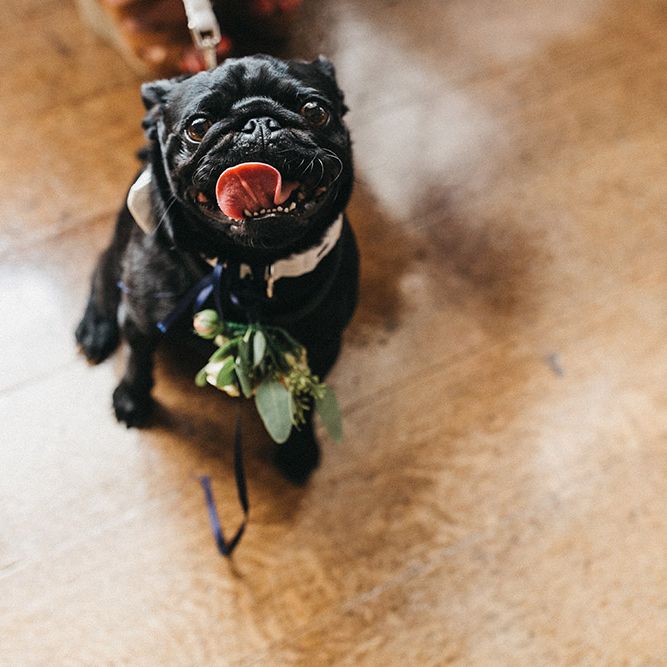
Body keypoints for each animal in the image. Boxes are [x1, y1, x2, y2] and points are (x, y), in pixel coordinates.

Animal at [75, 54, 358, 484]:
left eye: (315, 110)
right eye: (198, 127)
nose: (258, 122)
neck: (250, 269)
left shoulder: (323, 345)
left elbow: (303, 399)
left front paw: (298, 448)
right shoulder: (141, 321)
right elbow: (138, 362)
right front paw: (131, 400)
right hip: (116, 266)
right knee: (102, 280)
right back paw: (95, 329)